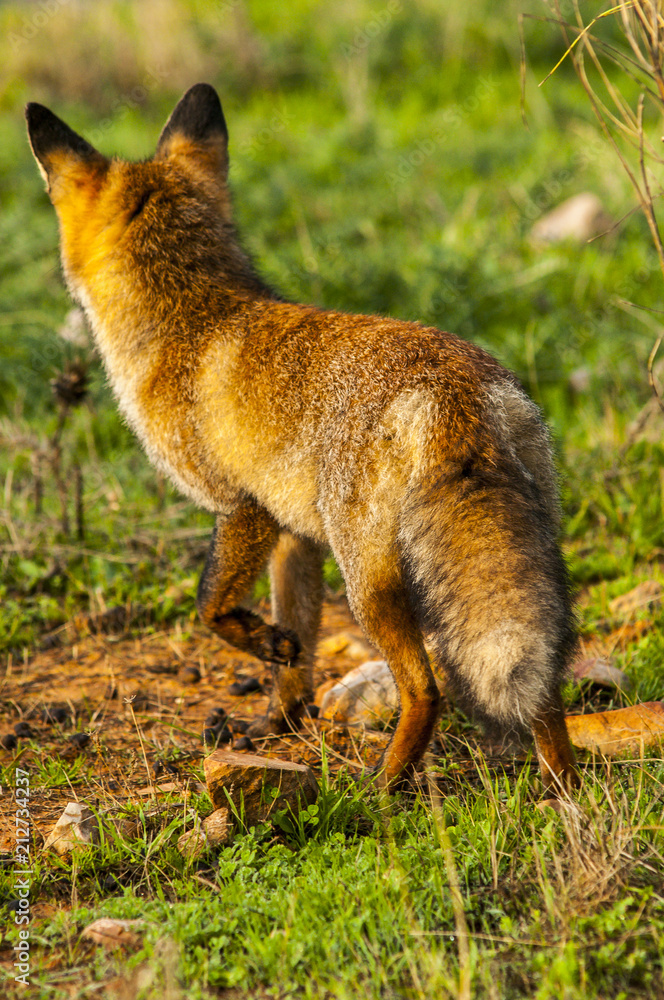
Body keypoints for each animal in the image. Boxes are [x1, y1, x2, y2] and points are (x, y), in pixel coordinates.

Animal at [26, 83, 580, 793]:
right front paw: (276, 724)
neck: (191, 317)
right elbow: (297, 652)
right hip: (532, 555)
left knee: (426, 689)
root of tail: (453, 389)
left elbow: (209, 605)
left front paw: (258, 645)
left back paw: (383, 787)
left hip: (368, 583)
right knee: (545, 690)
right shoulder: (293, 534)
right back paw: (566, 794)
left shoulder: (242, 506)